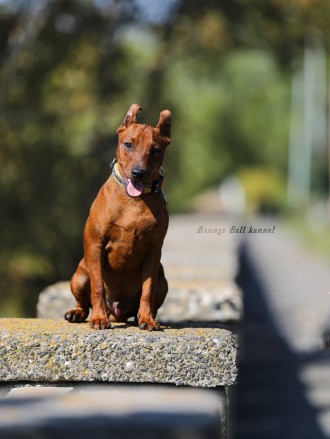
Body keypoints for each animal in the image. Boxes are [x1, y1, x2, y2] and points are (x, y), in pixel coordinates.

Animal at [65, 104, 171, 330]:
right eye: (128, 144)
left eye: (155, 150)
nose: (138, 173)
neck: (134, 200)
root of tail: (117, 312)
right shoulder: (96, 244)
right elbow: (98, 287)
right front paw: (98, 318)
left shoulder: (153, 252)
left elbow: (147, 290)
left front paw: (147, 319)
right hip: (79, 276)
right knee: (83, 301)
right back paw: (78, 313)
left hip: (163, 280)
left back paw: (142, 316)